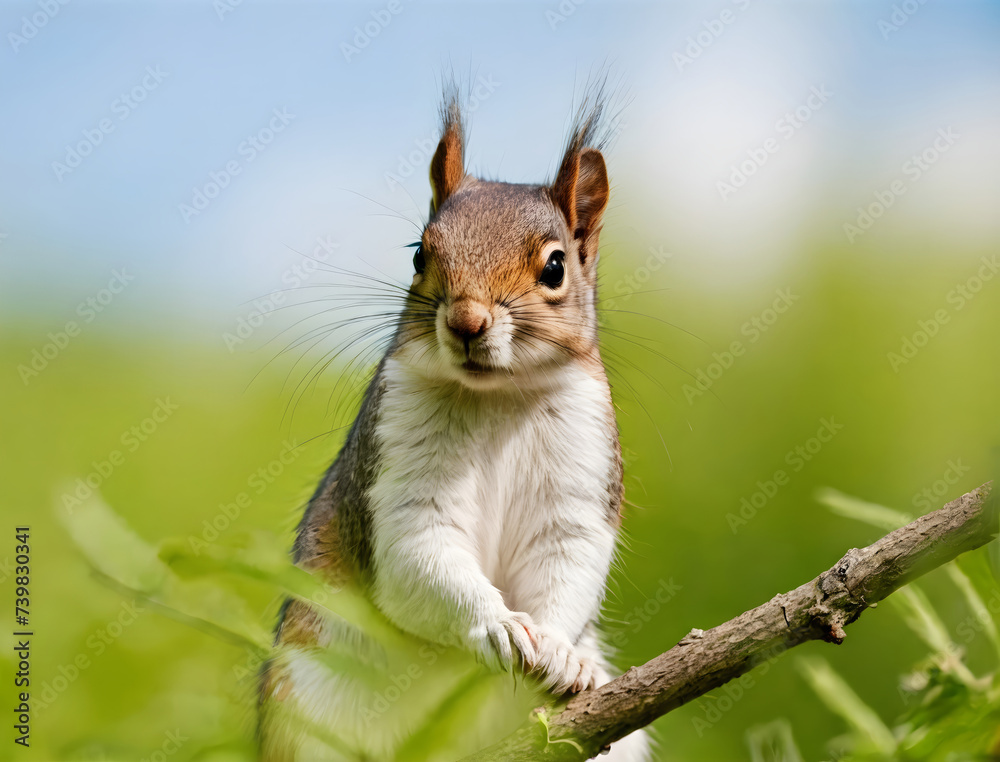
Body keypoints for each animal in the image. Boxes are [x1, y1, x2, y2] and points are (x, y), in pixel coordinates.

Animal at [258, 87, 652, 762]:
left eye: (555, 267)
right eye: (420, 253)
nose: (467, 321)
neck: (496, 396)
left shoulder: (582, 471)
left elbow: (568, 558)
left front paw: (563, 654)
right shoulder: (396, 469)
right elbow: (419, 550)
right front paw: (496, 624)